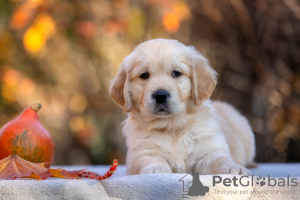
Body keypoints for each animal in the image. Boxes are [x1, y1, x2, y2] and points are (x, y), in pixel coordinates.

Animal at [109, 38, 254, 175]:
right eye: (144, 75)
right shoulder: (140, 153)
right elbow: (151, 159)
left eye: (176, 73)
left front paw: (234, 168)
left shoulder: (209, 151)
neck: (172, 127)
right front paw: (156, 168)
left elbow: (220, 159)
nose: (160, 95)